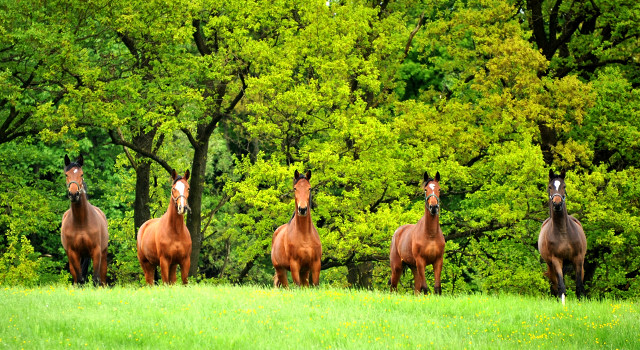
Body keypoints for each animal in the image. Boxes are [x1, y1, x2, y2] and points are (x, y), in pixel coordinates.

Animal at [60, 154, 109, 286]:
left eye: (81, 174)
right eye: (66, 174)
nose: (73, 194)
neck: (81, 222)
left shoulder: (96, 251)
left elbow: (96, 279)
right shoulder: (73, 253)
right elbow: (80, 278)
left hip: (103, 254)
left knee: (102, 278)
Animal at [536, 170, 588, 304]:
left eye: (564, 186)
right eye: (550, 187)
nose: (557, 203)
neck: (563, 233)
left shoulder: (578, 259)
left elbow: (579, 285)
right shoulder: (556, 260)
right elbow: (561, 286)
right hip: (551, 266)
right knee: (555, 285)